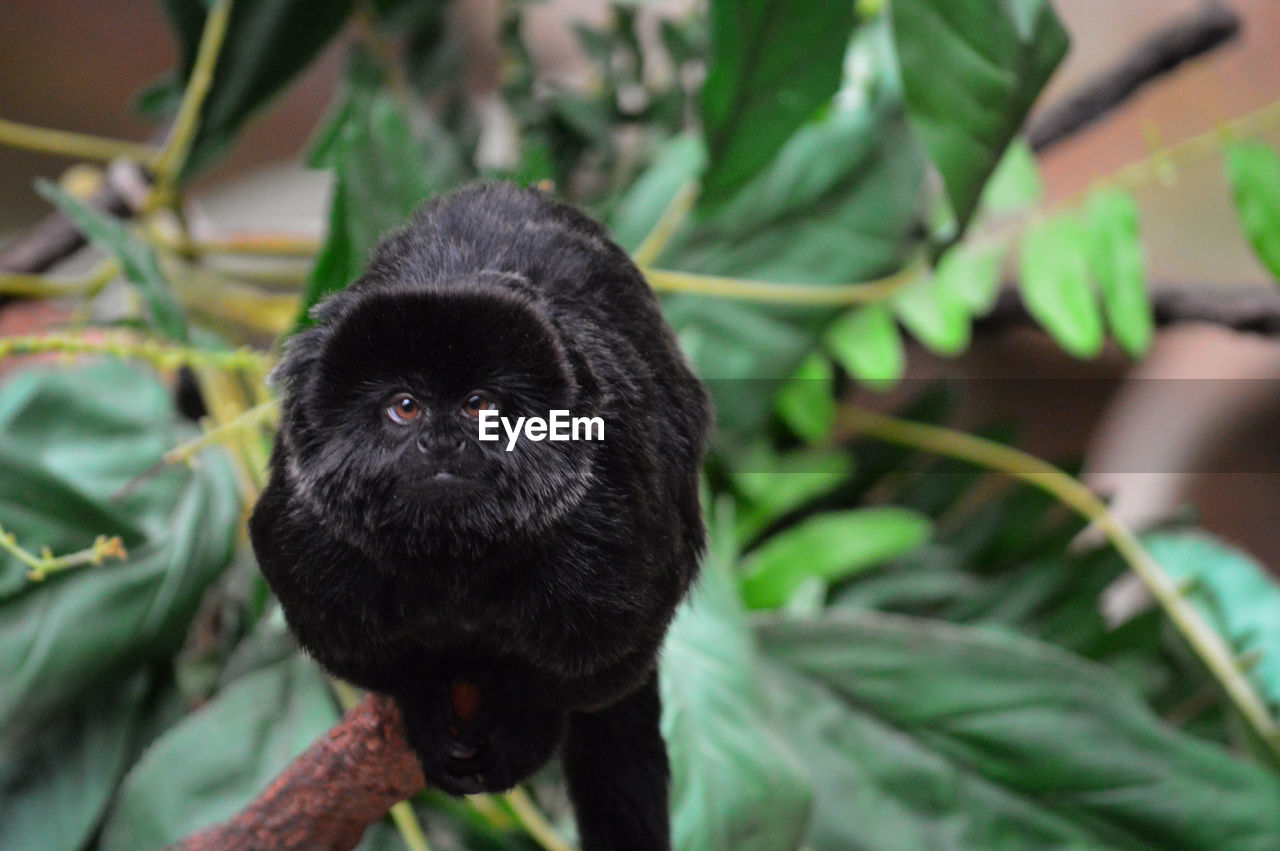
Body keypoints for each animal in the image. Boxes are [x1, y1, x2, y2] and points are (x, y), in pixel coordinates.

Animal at [249, 182, 711, 844]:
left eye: (478, 406)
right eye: (406, 407)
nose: (441, 442)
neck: (457, 564)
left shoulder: (617, 545)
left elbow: (598, 665)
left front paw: (523, 710)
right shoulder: (309, 547)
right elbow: (379, 661)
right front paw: (421, 697)